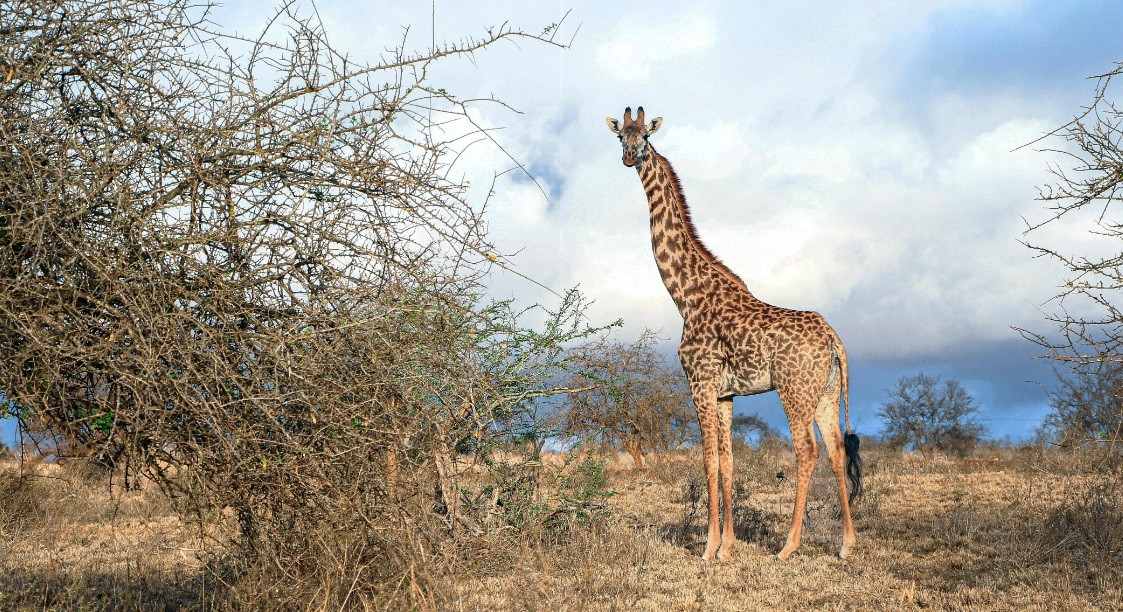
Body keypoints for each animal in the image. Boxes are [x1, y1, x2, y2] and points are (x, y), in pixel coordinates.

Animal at [605, 107, 862, 561]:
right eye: (621, 136)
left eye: (645, 138)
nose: (630, 157)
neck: (685, 295)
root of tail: (834, 339)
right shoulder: (725, 393)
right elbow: (727, 463)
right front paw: (727, 546)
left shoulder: (700, 382)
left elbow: (708, 461)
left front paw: (708, 549)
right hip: (827, 393)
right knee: (834, 452)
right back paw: (846, 545)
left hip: (794, 389)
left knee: (807, 451)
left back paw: (788, 547)